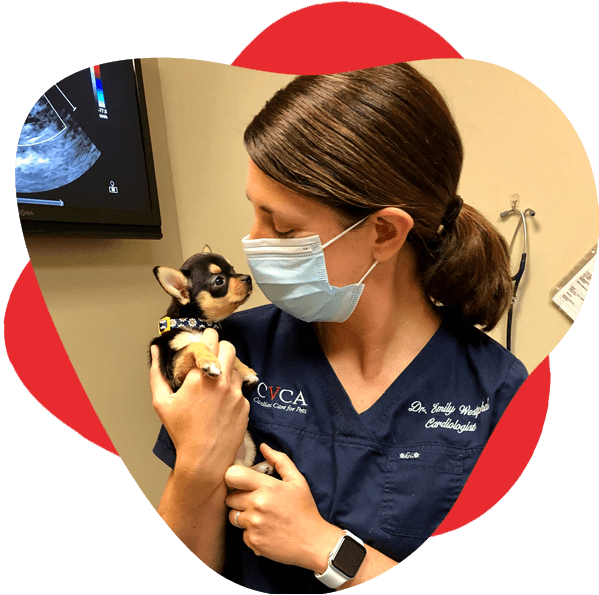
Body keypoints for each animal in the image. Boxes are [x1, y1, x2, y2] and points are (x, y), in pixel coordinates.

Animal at [150, 244, 272, 472]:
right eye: (218, 280)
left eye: (232, 269)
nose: (247, 277)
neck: (196, 323)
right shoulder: (175, 370)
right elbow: (194, 344)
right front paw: (210, 363)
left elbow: (233, 351)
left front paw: (246, 372)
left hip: (249, 443)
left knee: (240, 470)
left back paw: (262, 468)